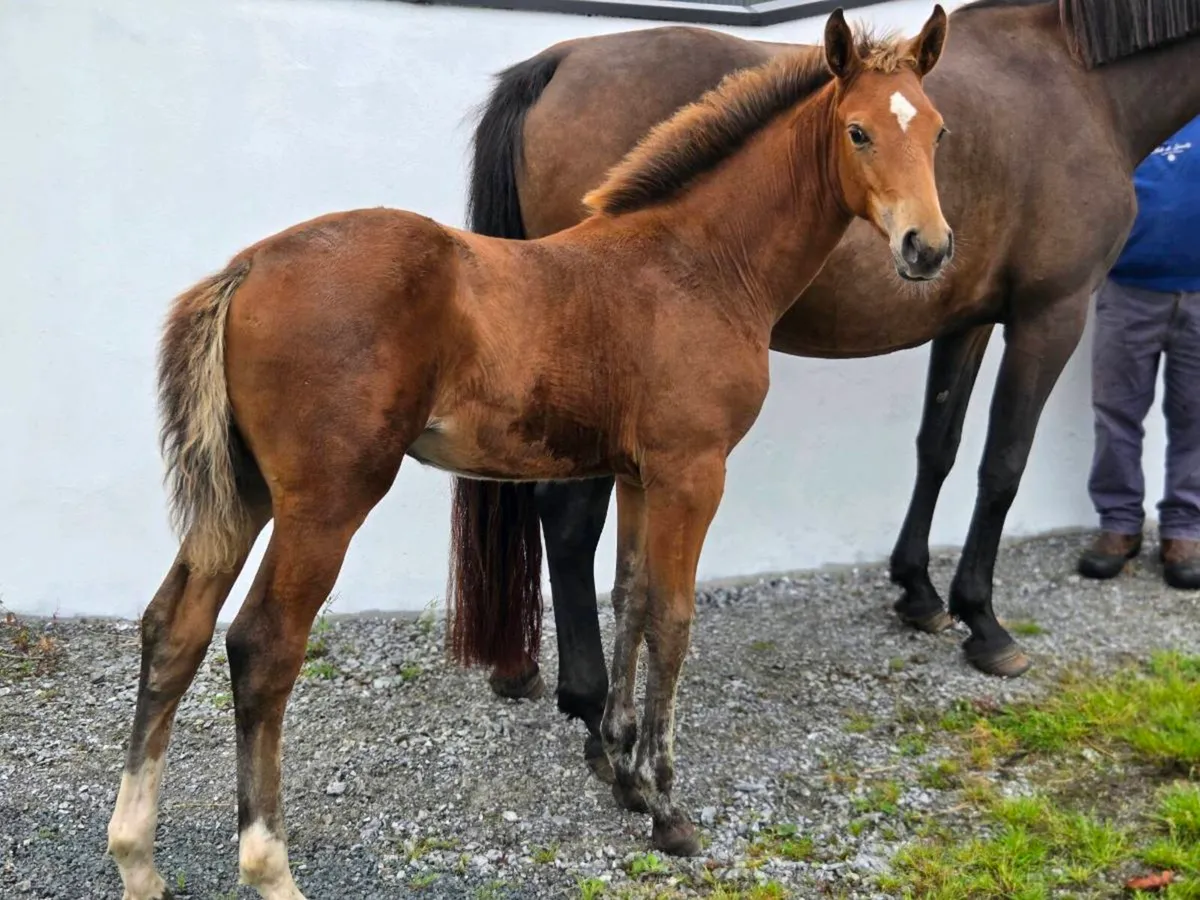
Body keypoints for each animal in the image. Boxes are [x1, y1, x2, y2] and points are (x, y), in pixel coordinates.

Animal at [105, 9, 952, 896]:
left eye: (936, 130)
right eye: (858, 131)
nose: (928, 247)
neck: (699, 262)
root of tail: (246, 268)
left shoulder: (639, 474)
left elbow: (631, 599)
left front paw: (624, 772)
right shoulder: (694, 471)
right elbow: (674, 618)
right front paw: (667, 804)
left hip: (242, 493)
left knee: (175, 626)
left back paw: (137, 859)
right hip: (326, 501)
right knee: (263, 646)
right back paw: (270, 867)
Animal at [463, 0, 1200, 777]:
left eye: (940, 134)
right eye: (859, 134)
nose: (927, 244)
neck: (1077, 79)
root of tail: (559, 62)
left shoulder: (964, 320)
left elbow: (938, 449)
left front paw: (918, 591)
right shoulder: (1049, 316)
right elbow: (1002, 468)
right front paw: (984, 622)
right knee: (568, 519)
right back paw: (589, 705)